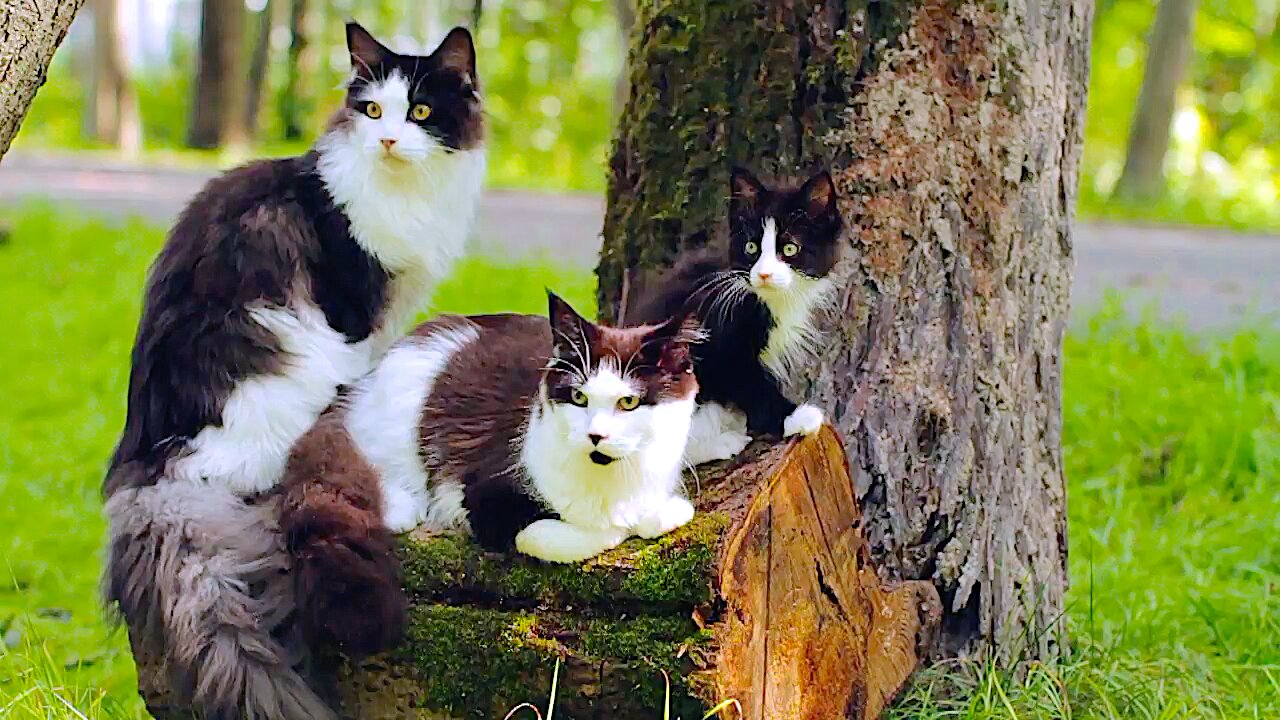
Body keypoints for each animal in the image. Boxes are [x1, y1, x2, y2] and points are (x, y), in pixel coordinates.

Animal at [101, 22, 483, 717]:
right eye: (372, 111)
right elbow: (366, 392)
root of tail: (147, 475)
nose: (388, 140)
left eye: (418, 113)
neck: (404, 193)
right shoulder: (356, 313)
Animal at [277, 293, 711, 655]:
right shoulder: (486, 497)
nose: (596, 436)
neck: (610, 480)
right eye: (578, 397)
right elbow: (569, 532)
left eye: (629, 402)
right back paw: (401, 507)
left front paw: (655, 511)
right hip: (396, 420)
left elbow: (665, 511)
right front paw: (615, 524)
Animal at [627, 165, 839, 461]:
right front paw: (795, 416)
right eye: (751, 247)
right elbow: (751, 384)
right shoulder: (721, 344)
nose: (764, 273)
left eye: (790, 248)